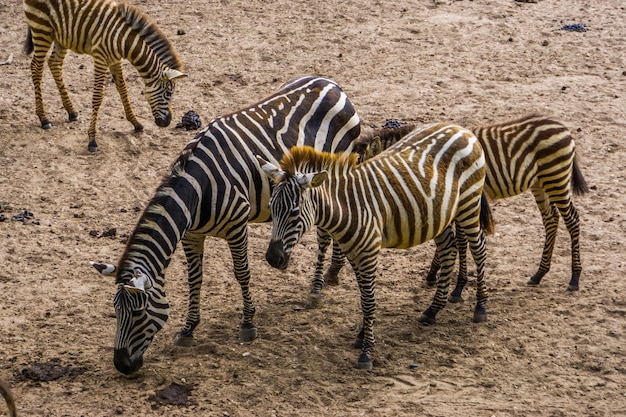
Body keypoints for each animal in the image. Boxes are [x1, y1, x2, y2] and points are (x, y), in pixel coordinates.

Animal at [22, 0, 188, 151]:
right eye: (169, 93)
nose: (167, 122)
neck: (123, 39)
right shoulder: (100, 58)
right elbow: (98, 97)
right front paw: (92, 139)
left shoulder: (115, 60)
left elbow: (123, 90)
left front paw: (135, 123)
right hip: (41, 29)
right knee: (36, 67)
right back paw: (43, 118)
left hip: (60, 36)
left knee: (54, 64)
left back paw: (71, 111)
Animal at [89, 75, 358, 374]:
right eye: (116, 311)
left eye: (138, 313)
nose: (122, 366)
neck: (196, 192)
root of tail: (330, 83)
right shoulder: (192, 235)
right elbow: (194, 279)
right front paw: (188, 329)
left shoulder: (237, 226)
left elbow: (242, 273)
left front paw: (248, 323)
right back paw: (334, 271)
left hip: (331, 172)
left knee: (326, 230)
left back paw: (317, 288)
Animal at [258, 122, 492, 368]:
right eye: (271, 208)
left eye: (294, 212)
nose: (272, 258)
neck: (347, 206)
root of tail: (459, 127)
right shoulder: (354, 253)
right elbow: (363, 298)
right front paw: (362, 335)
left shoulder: (369, 252)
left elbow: (369, 302)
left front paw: (366, 352)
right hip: (439, 215)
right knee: (448, 249)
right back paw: (432, 310)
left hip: (468, 203)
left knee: (479, 250)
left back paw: (480, 307)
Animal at [336, 112, 584, 298]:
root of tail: (563, 127)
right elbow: (457, 241)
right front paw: (437, 275)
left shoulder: (460, 200)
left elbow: (461, 242)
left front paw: (455, 286)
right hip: (540, 183)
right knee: (551, 219)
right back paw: (539, 273)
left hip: (556, 177)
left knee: (572, 219)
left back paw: (574, 277)